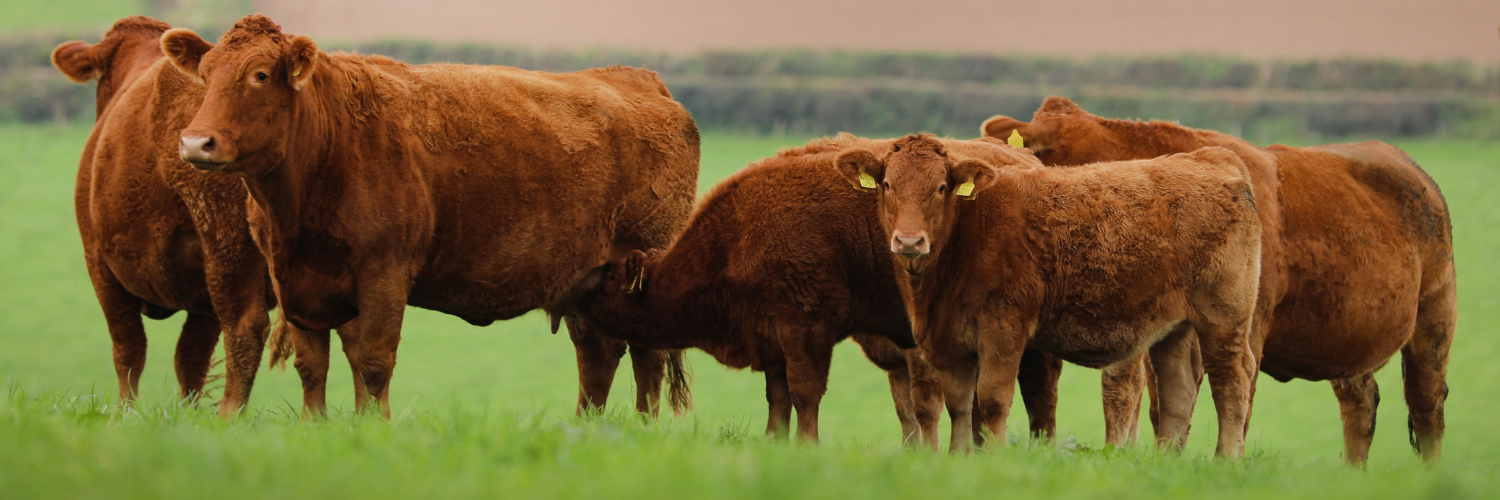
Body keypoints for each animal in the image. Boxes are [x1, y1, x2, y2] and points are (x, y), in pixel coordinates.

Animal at [159, 15, 702, 417]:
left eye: (260, 75)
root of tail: (635, 76)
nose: (196, 142)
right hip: (587, 282)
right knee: (598, 355)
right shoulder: (294, 282)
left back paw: (644, 429)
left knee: (648, 357)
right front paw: (317, 430)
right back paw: (588, 429)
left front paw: (372, 428)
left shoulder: (385, 271)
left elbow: (374, 362)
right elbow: (314, 366)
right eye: (205, 73)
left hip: (638, 269)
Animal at [564, 135, 1080, 444]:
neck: (740, 230)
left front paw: (805, 447)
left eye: (605, 287)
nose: (568, 304)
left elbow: (806, 393)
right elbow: (777, 397)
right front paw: (775, 444)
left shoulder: (806, 326)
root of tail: (1029, 161)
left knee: (1038, 393)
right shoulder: (772, 336)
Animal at [840, 133, 1260, 456]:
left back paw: (1227, 458)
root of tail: (1212, 157)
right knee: (1178, 390)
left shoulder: (1003, 328)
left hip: (1223, 318)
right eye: (888, 185)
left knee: (1232, 379)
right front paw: (959, 458)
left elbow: (991, 401)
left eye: (941, 187)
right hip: (1175, 328)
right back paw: (1166, 460)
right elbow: (959, 405)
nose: (909, 241)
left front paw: (993, 459)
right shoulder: (951, 342)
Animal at [984, 95, 1452, 462]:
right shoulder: (1163, 327)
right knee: (1361, 404)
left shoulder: (1246, 325)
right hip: (1349, 346)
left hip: (1435, 317)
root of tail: (1407, 164)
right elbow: (1162, 402)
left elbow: (1230, 400)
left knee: (1427, 404)